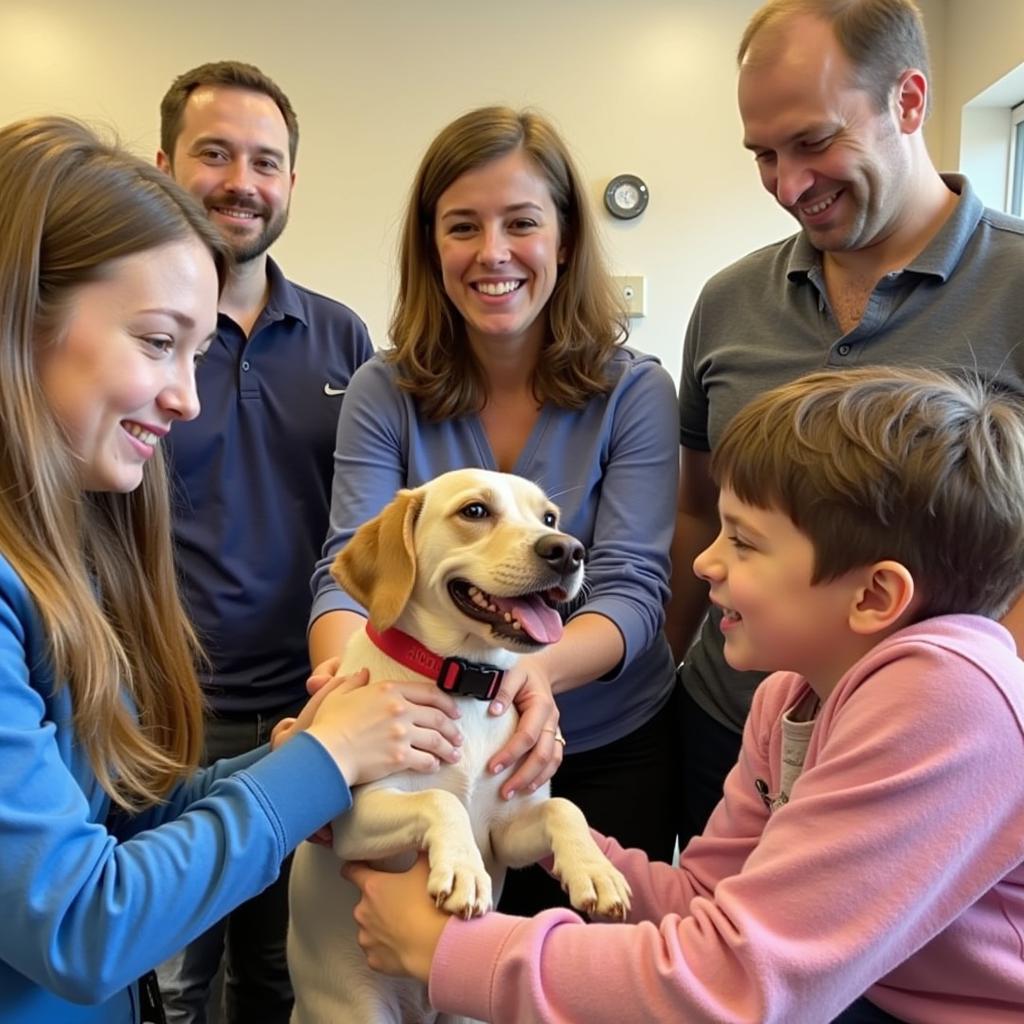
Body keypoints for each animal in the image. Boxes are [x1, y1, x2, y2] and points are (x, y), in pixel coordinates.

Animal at [288, 468, 630, 1019]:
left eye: (549, 518)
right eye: (475, 511)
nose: (568, 551)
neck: (464, 681)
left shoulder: (505, 833)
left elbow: (564, 809)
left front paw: (596, 871)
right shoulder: (352, 821)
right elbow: (440, 798)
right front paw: (464, 870)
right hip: (355, 1010)